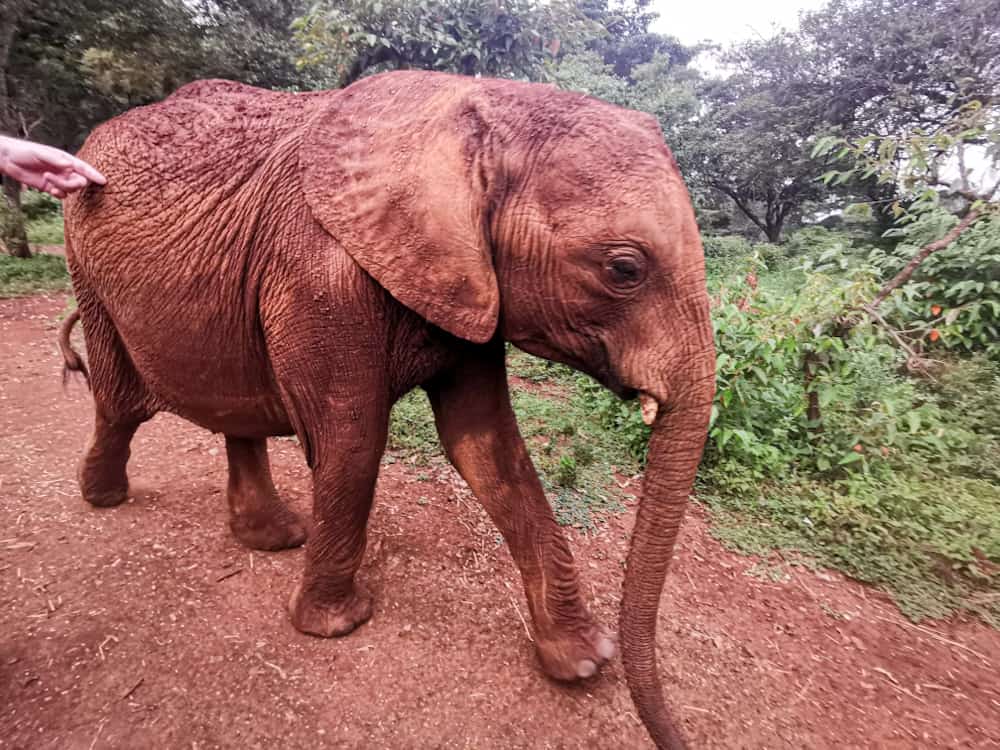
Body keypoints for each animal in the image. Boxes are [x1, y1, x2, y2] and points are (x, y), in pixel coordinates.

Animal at [62, 72, 716, 750]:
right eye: (624, 269)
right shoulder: (318, 273)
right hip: (85, 261)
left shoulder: (468, 282)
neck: (477, 112)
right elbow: (351, 439)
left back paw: (274, 538)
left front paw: (581, 661)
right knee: (120, 401)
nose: (674, 735)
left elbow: (486, 445)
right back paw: (105, 498)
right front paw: (336, 625)